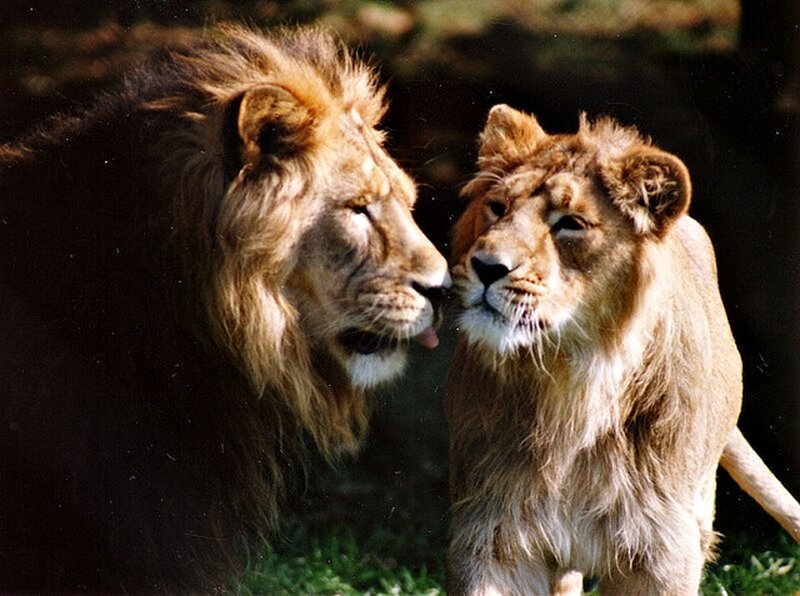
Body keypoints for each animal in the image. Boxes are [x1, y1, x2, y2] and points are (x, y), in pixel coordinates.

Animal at [444, 104, 800, 595]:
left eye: (570, 224)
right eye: (497, 207)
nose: (486, 266)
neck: (572, 386)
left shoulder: (660, 549)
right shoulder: (491, 533)